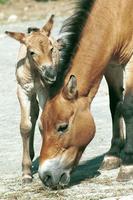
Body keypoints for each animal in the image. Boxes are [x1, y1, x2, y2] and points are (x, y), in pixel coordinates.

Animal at [5, 15, 60, 184]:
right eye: (32, 52)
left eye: (51, 49)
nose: (50, 74)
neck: (34, 73)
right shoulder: (23, 91)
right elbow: (25, 126)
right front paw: (26, 172)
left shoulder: (43, 90)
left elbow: (44, 123)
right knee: (34, 113)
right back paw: (30, 153)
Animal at [38, 0, 133, 188]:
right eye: (41, 127)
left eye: (63, 127)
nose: (46, 177)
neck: (117, 14)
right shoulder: (111, 65)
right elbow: (115, 105)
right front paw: (113, 155)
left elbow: (127, 109)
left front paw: (128, 163)